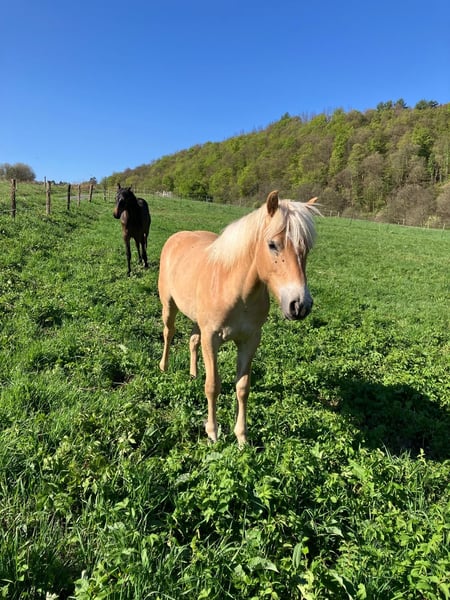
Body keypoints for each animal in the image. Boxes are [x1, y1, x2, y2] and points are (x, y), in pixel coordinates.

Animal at [158, 190, 320, 444]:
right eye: (272, 244)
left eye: (307, 248)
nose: (300, 305)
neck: (235, 289)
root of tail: (177, 237)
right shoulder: (212, 338)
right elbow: (213, 385)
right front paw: (212, 432)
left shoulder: (250, 340)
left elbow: (243, 387)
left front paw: (242, 437)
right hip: (169, 305)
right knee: (169, 333)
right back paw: (164, 367)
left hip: (196, 320)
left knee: (192, 341)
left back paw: (193, 375)